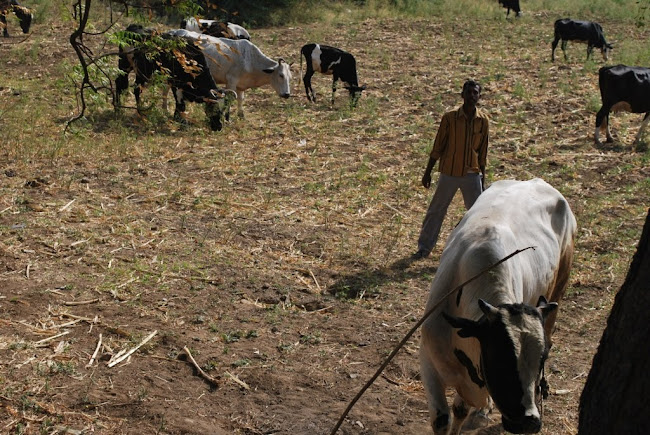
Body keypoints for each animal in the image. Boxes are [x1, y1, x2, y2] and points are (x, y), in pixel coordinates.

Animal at [420, 178, 577, 435]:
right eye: (500, 358)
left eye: (541, 359)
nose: (529, 421)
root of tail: (537, 181)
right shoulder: (429, 362)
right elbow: (442, 419)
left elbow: (460, 410)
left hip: (559, 287)